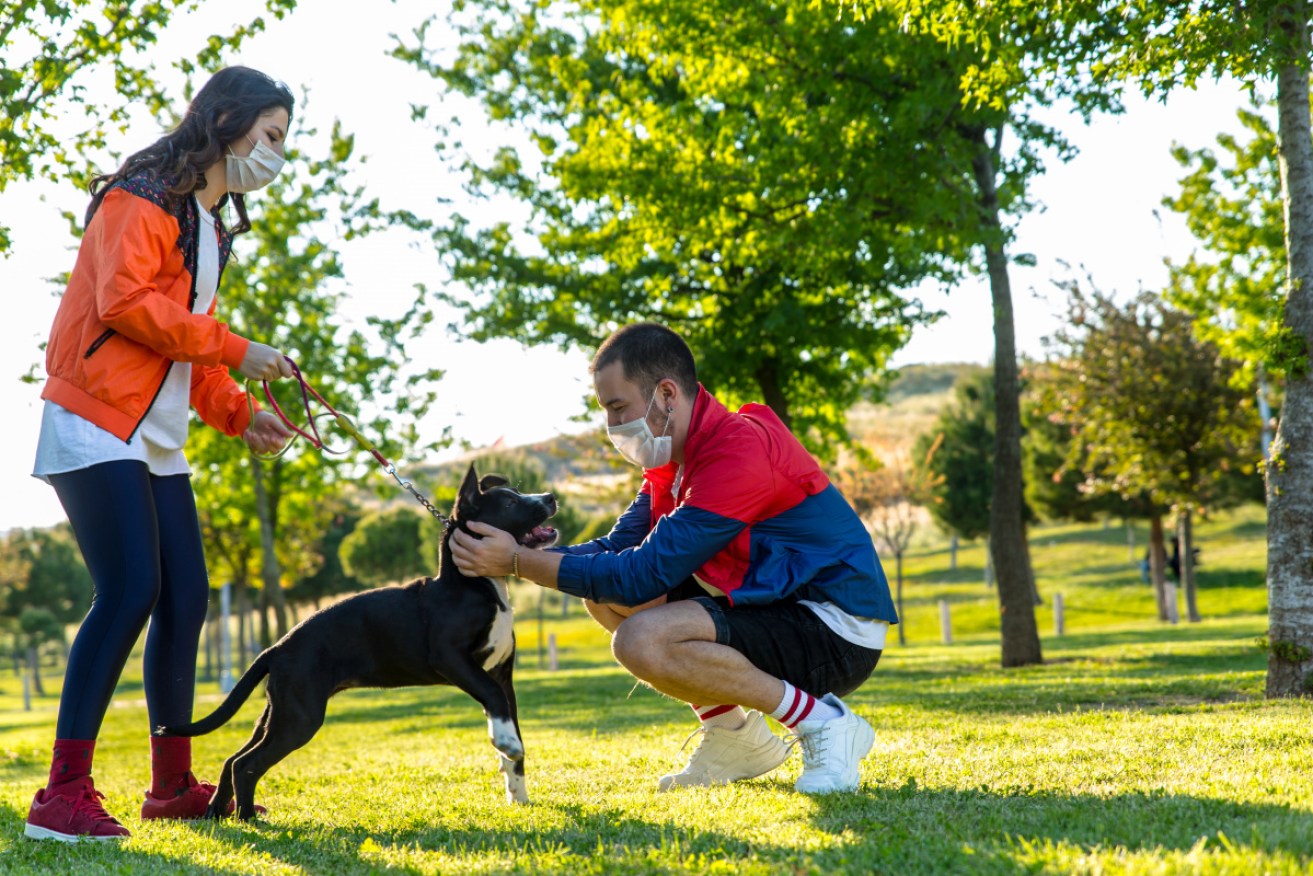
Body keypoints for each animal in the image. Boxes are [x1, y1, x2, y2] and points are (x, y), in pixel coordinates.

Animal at [156, 470, 556, 819]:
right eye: (509, 502)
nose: (551, 497)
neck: (475, 585)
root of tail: (278, 647)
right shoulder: (452, 659)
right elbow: (494, 700)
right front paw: (507, 745)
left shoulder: (501, 673)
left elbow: (506, 713)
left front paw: (516, 789)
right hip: (300, 717)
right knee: (246, 764)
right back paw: (247, 819)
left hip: (278, 712)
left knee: (232, 759)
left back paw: (215, 814)